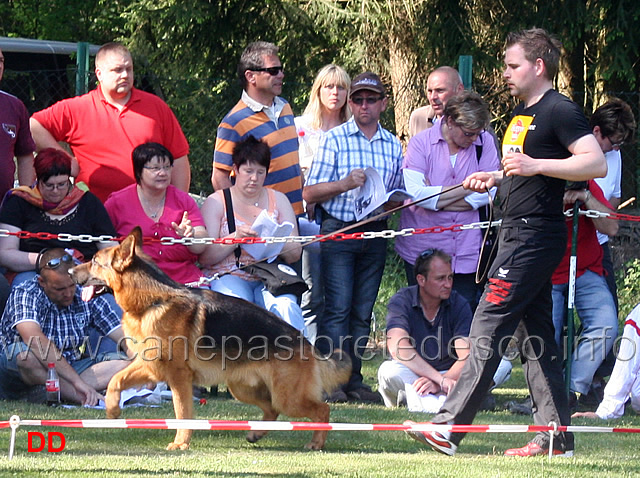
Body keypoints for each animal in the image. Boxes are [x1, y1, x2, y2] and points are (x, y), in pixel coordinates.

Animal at [72, 230, 352, 450]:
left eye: (94, 261)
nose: (70, 269)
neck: (153, 301)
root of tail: (305, 341)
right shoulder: (152, 368)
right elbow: (115, 381)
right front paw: (112, 410)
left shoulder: (178, 378)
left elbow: (182, 412)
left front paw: (181, 443)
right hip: (242, 389)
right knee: (272, 409)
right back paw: (256, 433)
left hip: (287, 396)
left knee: (321, 409)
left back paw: (316, 442)